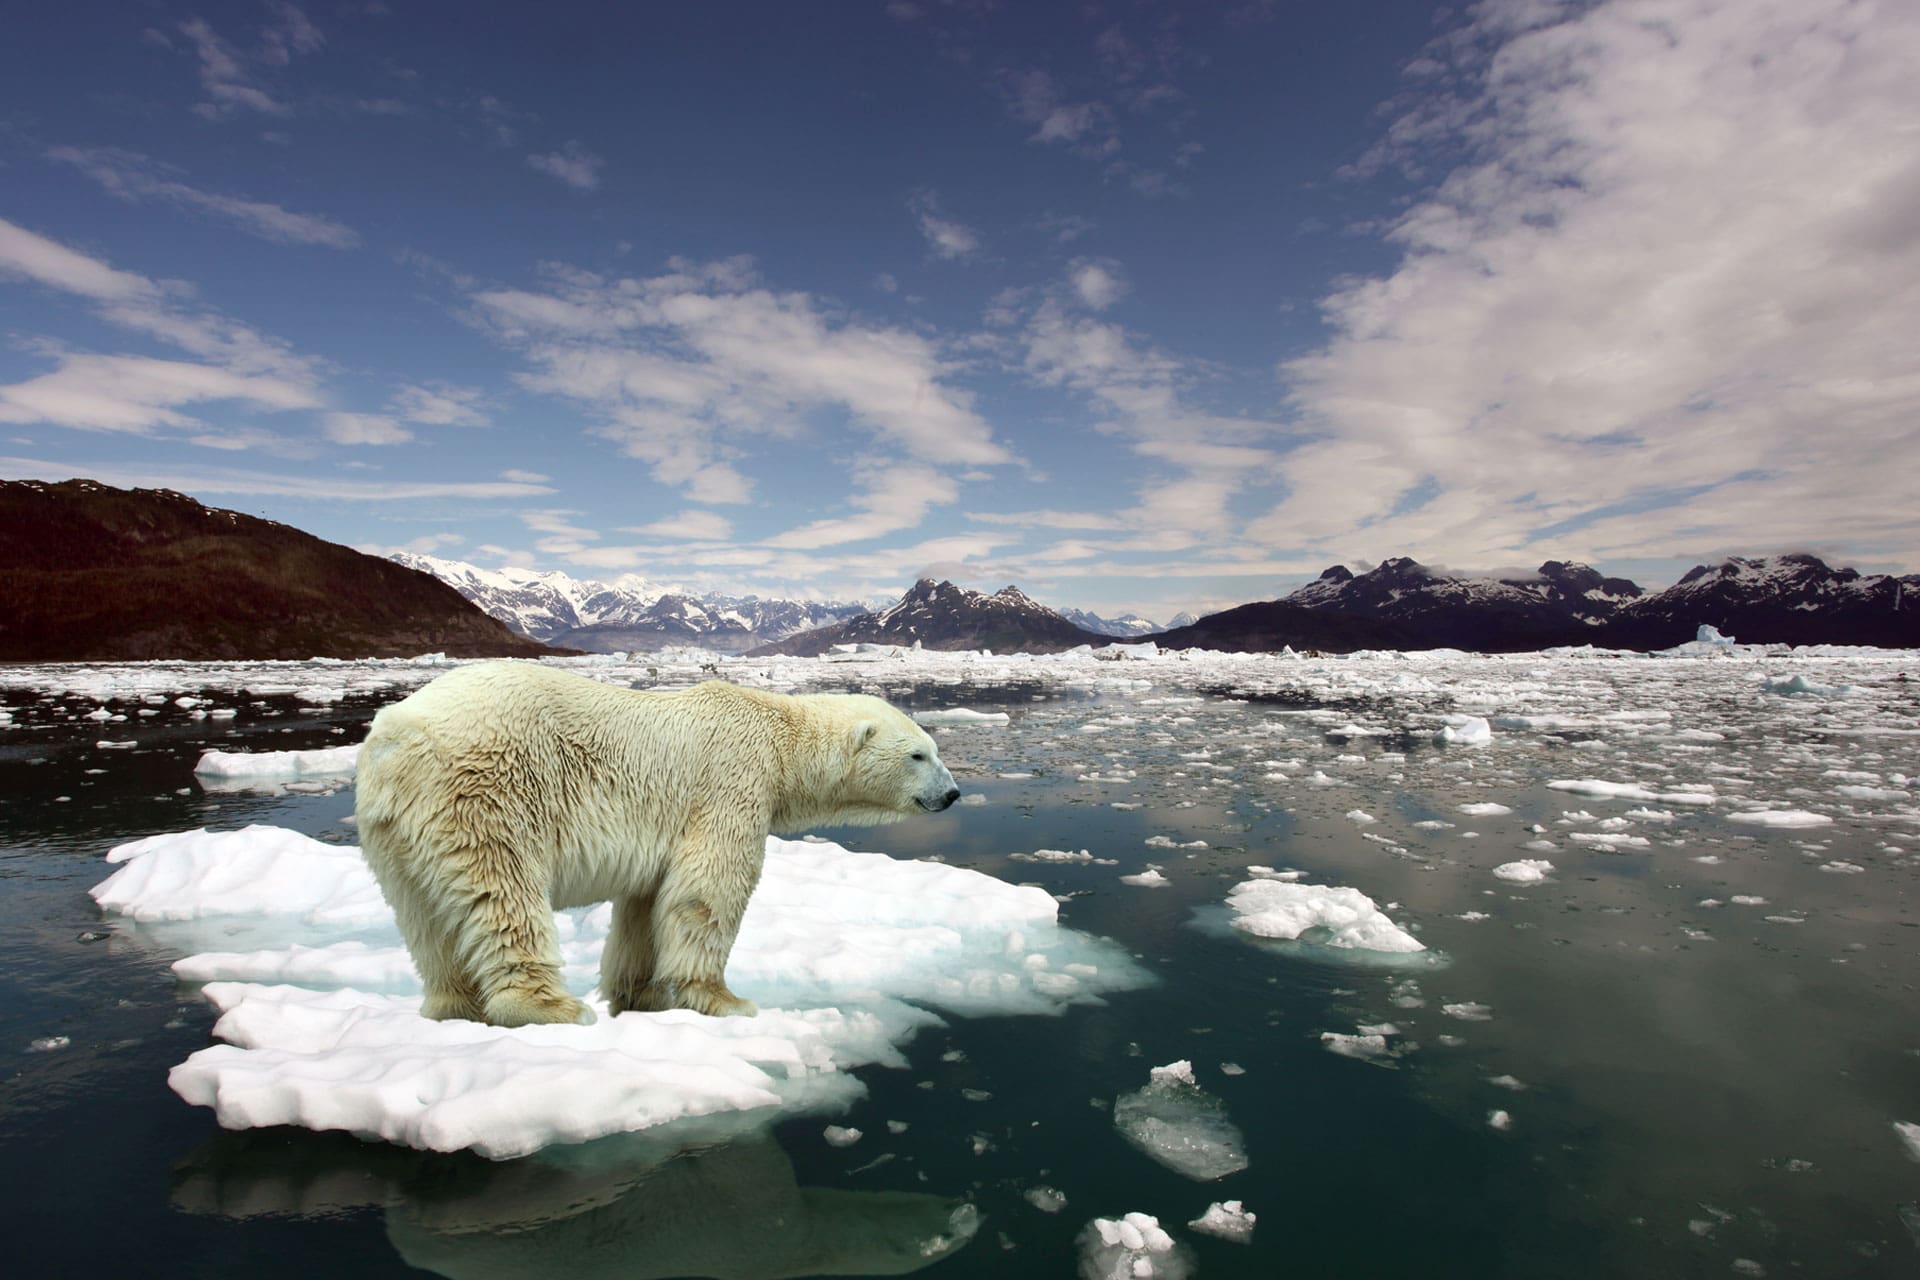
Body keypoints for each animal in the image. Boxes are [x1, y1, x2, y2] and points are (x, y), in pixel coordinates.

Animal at [355, 667, 960, 1028]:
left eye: (933, 748)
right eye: (919, 756)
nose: (952, 794)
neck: (779, 735)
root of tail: (395, 738)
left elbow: (646, 905)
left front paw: (640, 996)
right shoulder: (731, 781)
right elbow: (708, 890)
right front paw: (724, 1000)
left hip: (393, 831)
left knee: (425, 919)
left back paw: (452, 1007)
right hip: (485, 790)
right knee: (503, 892)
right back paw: (551, 1007)